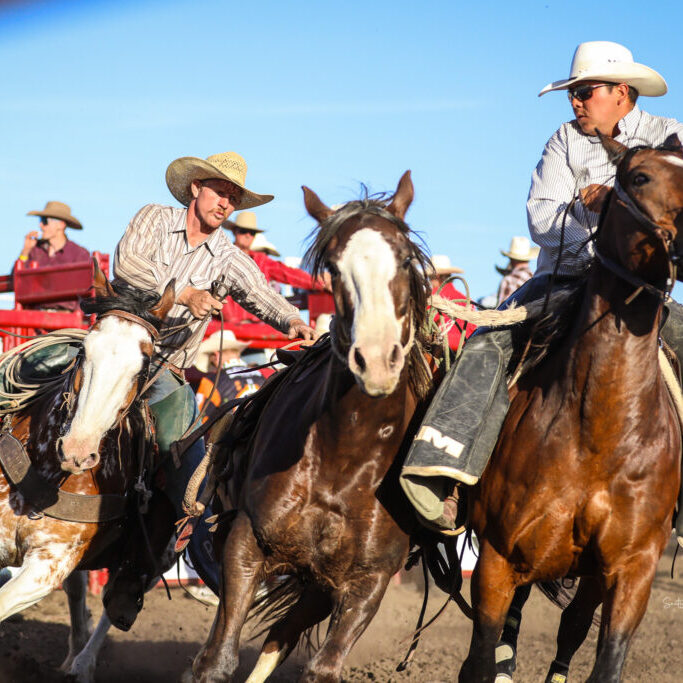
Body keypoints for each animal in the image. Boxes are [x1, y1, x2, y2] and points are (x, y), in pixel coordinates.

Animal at [187, 172, 446, 683]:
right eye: (332, 267)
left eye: (405, 258)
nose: (376, 359)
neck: (344, 460)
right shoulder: (246, 543)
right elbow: (217, 659)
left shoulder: (368, 582)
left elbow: (322, 668)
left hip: (320, 589)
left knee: (280, 636)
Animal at [460, 135, 683, 683]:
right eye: (640, 177)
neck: (598, 430)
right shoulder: (498, 557)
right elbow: (483, 654)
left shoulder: (632, 568)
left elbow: (604, 659)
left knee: (572, 627)